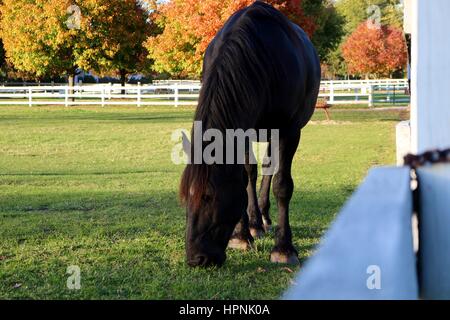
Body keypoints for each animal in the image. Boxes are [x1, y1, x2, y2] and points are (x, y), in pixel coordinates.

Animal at [179, 1, 320, 268]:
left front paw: (284, 248)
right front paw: (242, 236)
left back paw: (264, 219)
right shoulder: (242, 128)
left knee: (270, 168)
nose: (196, 258)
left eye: (209, 196)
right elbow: (244, 178)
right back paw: (255, 224)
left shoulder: (289, 130)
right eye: (185, 197)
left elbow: (282, 185)